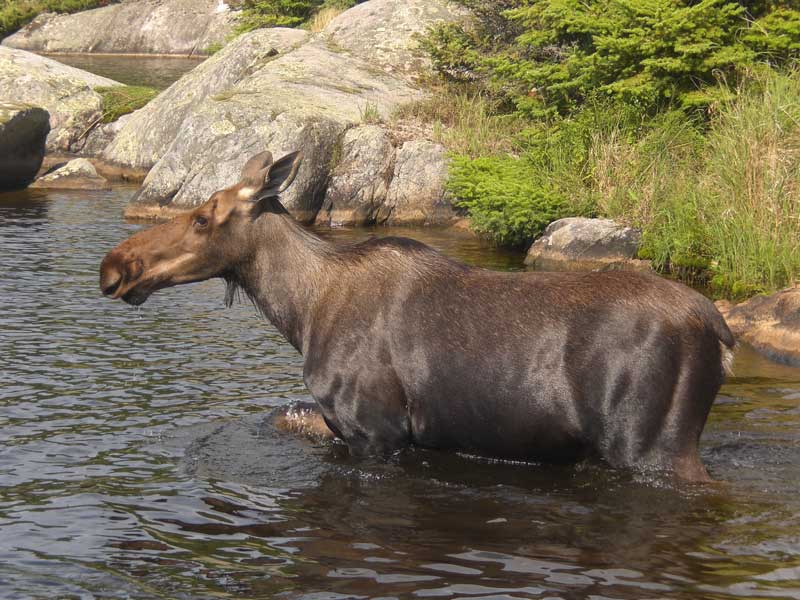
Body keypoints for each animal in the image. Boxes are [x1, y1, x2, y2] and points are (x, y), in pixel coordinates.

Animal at [101, 150, 736, 482]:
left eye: (203, 218)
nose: (115, 266)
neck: (301, 313)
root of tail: (720, 328)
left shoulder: (376, 431)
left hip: (655, 447)